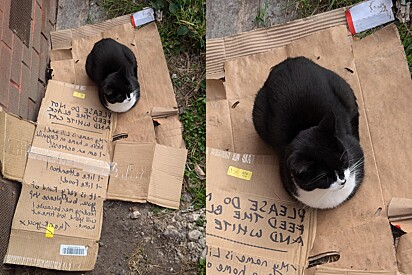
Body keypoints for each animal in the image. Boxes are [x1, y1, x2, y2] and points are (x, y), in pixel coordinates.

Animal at [251, 57, 364, 209]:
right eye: (325, 177)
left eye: (344, 160)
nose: (343, 180)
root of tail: (289, 61)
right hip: (258, 114)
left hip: (342, 87)